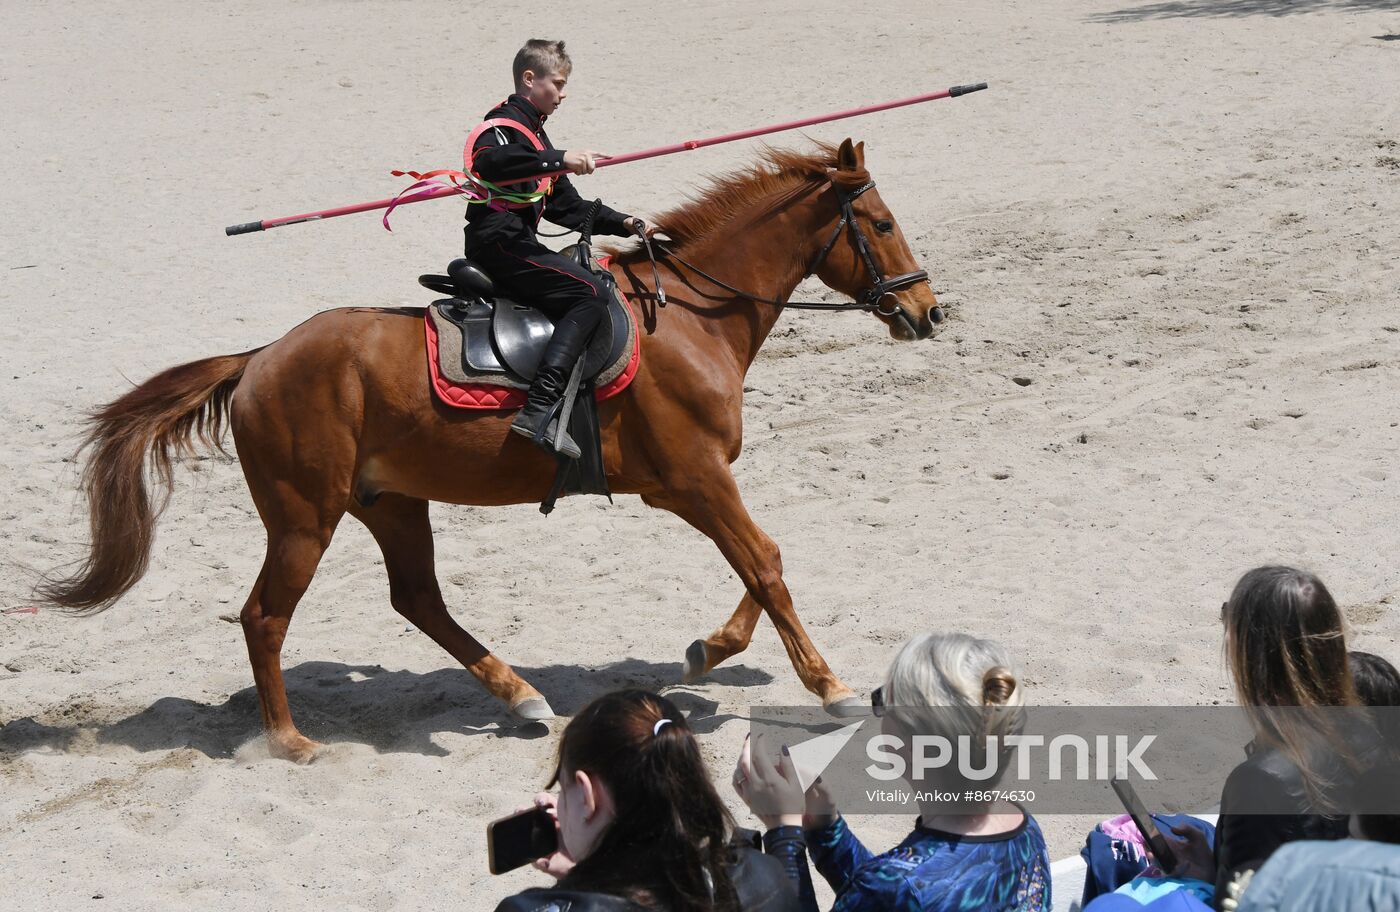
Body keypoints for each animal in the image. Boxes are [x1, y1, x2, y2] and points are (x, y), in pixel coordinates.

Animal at [40, 137, 940, 762]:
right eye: (884, 224)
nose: (928, 311)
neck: (690, 317)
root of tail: (260, 357)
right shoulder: (694, 479)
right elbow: (766, 563)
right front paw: (830, 687)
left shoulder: (695, 484)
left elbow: (760, 564)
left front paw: (709, 650)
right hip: (304, 518)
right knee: (266, 616)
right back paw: (291, 741)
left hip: (392, 503)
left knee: (418, 600)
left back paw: (520, 696)